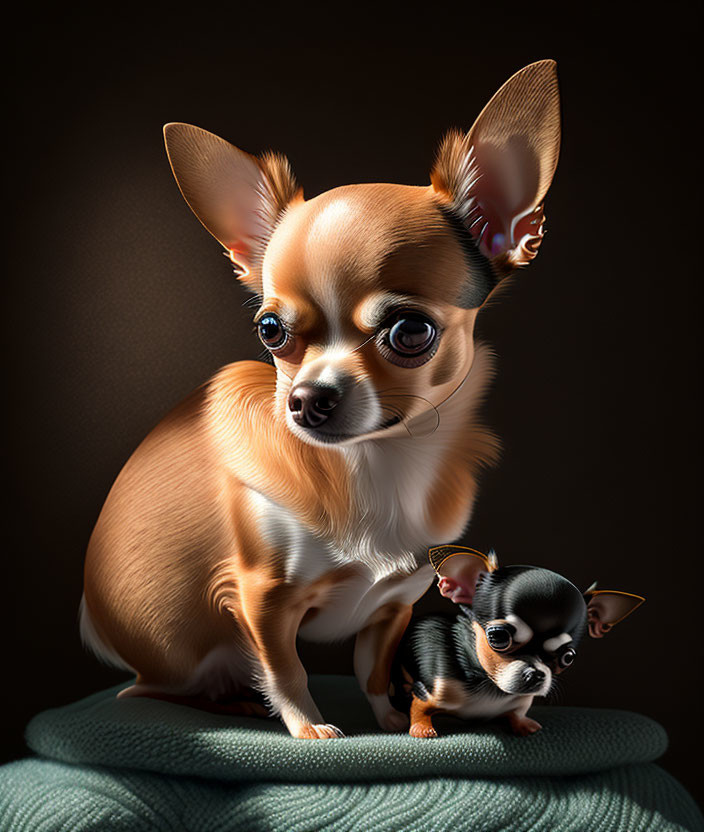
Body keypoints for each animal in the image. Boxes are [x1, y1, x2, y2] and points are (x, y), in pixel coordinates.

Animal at [80, 58, 560, 736]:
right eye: (270, 330)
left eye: (411, 332)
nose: (306, 399)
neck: (375, 464)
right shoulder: (260, 595)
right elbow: (288, 670)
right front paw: (308, 728)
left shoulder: (393, 604)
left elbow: (373, 669)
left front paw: (394, 721)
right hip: (183, 654)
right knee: (151, 691)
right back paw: (232, 701)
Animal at [390, 548, 644, 736]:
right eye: (499, 637)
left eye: (568, 657)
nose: (537, 673)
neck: (491, 687)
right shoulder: (430, 689)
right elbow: (419, 706)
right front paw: (421, 728)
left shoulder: (519, 703)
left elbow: (516, 712)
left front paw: (523, 724)